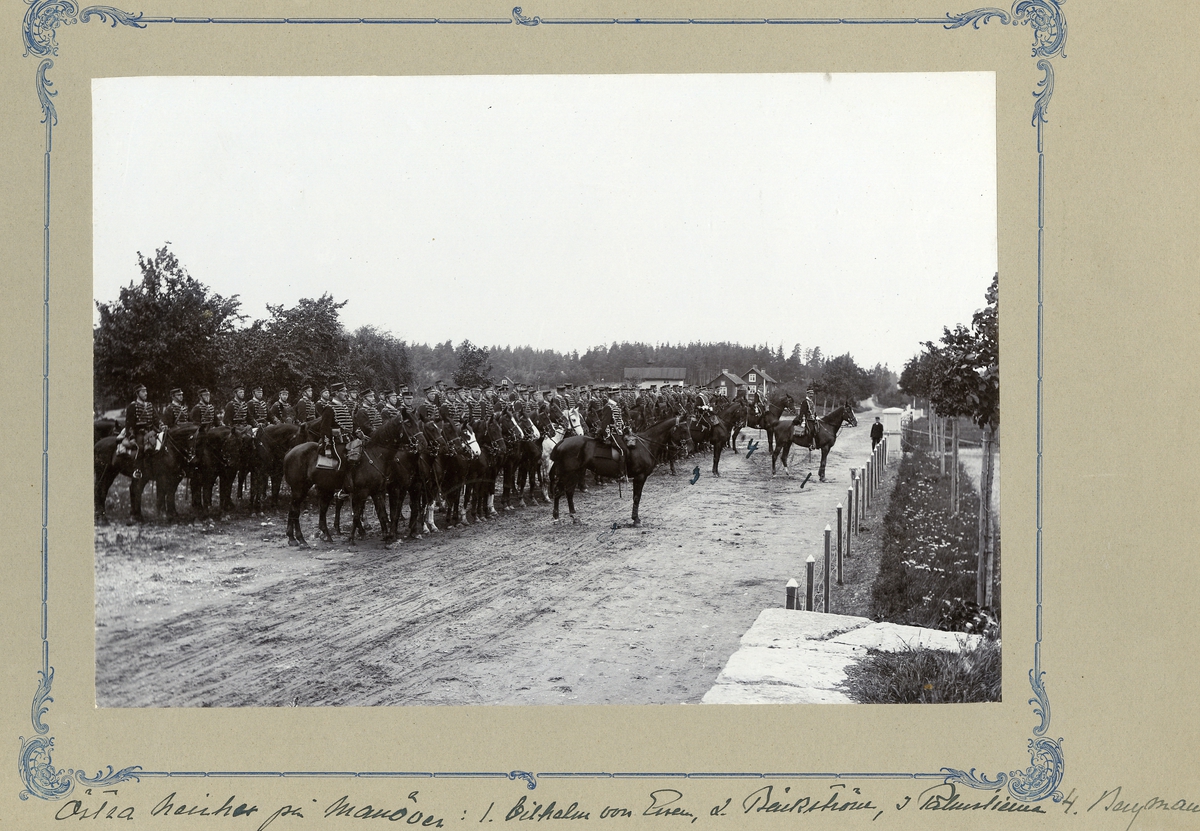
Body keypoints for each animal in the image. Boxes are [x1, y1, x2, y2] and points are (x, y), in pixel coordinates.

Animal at [549, 415, 681, 525]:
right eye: (683, 428)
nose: (681, 447)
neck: (645, 445)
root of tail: (562, 442)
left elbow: (636, 497)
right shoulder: (640, 476)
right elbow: (637, 497)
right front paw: (636, 519)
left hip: (575, 472)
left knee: (568, 492)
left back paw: (571, 517)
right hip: (567, 473)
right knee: (559, 491)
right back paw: (557, 517)